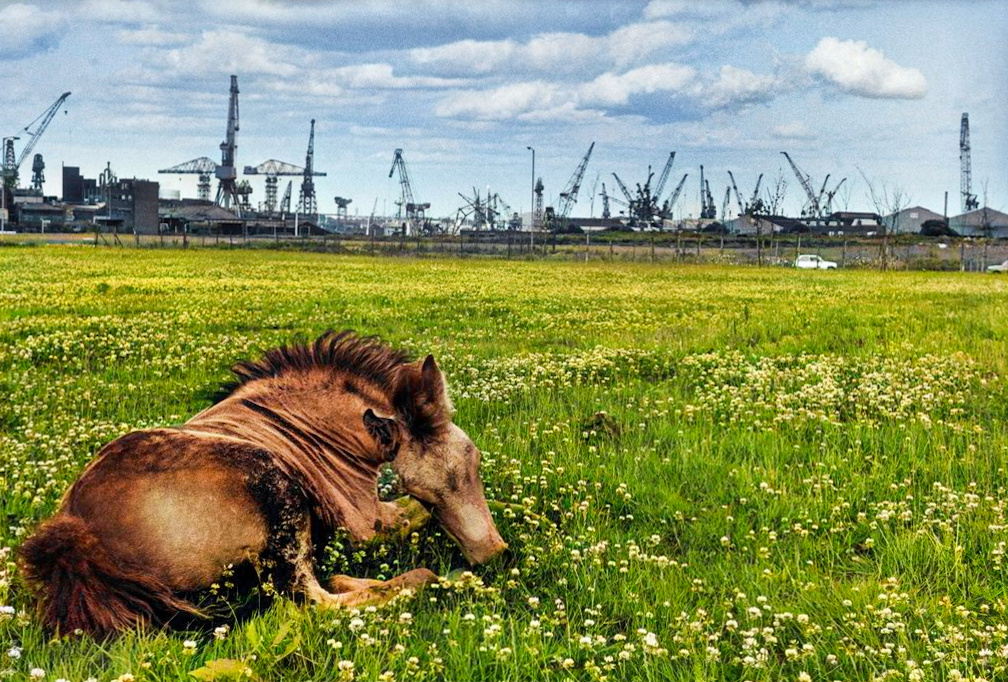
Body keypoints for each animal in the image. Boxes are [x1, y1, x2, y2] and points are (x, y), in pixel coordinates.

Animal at [21, 330, 512, 636]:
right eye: (422, 489)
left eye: (474, 459)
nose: (494, 553)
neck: (313, 429)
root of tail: (79, 532)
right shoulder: (365, 524)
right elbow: (410, 520)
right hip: (277, 489)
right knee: (315, 599)